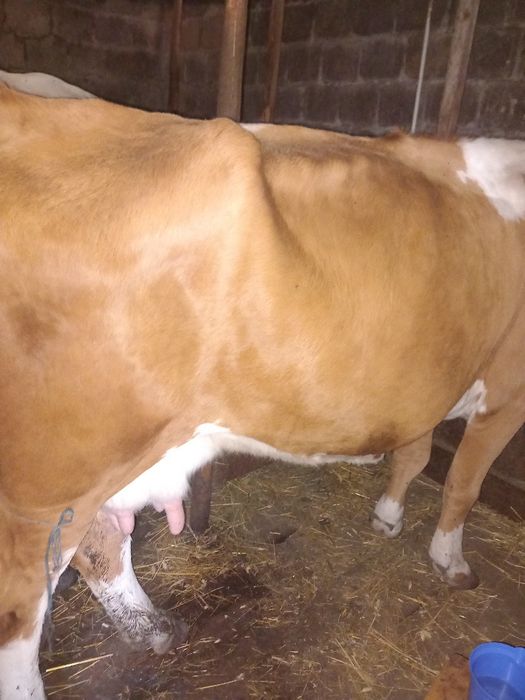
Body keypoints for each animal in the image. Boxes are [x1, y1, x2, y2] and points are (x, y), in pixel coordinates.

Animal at [0, 80, 524, 699]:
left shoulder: (425, 386)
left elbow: (416, 453)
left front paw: (389, 516)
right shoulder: (508, 387)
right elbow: (463, 483)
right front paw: (449, 558)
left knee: (104, 545)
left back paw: (153, 628)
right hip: (43, 497)